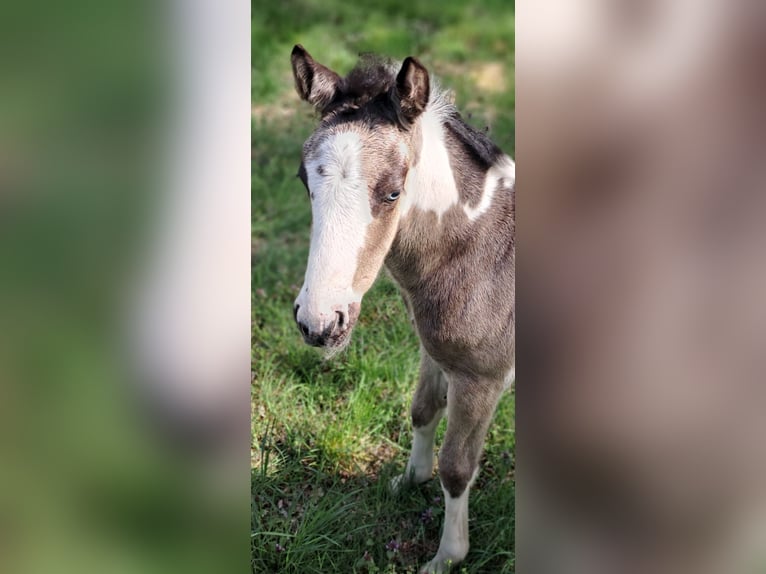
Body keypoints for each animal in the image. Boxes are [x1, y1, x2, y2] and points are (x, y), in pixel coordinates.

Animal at [290, 45, 515, 573]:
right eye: (304, 181)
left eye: (393, 192)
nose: (318, 323)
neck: (484, 256)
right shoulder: (435, 352)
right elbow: (422, 410)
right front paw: (409, 481)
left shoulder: (482, 378)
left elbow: (457, 468)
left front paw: (446, 557)